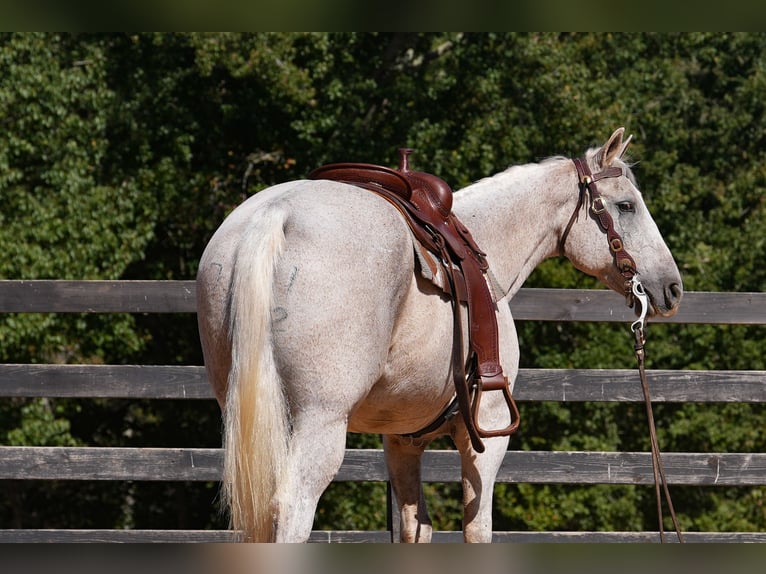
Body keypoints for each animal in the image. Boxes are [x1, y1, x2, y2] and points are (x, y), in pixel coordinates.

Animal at [196, 127, 683, 543]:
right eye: (626, 206)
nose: (672, 288)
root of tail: (275, 215)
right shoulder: (486, 434)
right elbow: (477, 527)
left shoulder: (401, 441)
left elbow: (415, 526)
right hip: (320, 421)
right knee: (293, 505)